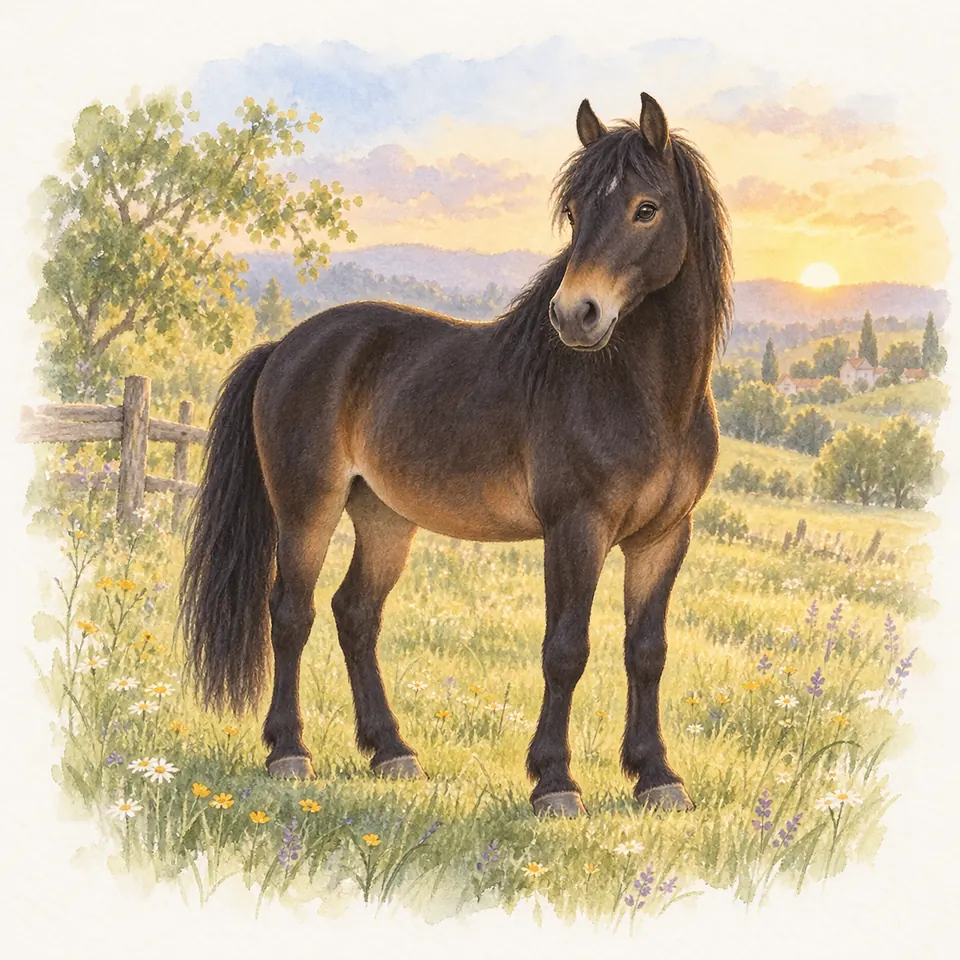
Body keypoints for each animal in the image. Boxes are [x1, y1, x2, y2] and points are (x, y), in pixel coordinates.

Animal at [179, 92, 732, 817]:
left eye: (647, 208)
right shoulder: (575, 529)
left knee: (356, 614)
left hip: (384, 517)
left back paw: (391, 751)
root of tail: (286, 346)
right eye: (575, 211)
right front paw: (555, 781)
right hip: (307, 510)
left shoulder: (664, 537)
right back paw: (289, 751)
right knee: (291, 613)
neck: (646, 396)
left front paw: (657, 776)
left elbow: (646, 651)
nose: (576, 315)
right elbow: (566, 649)